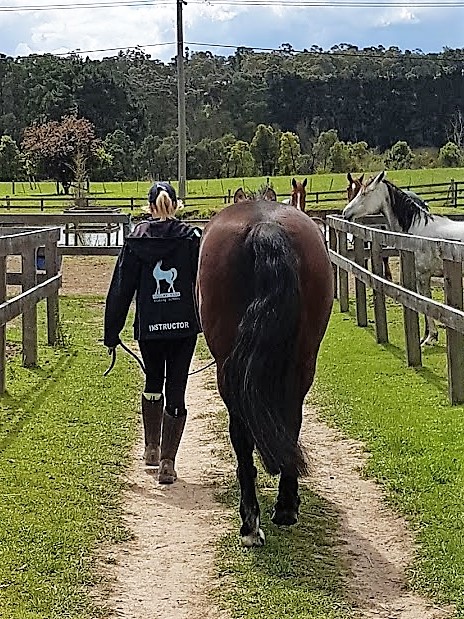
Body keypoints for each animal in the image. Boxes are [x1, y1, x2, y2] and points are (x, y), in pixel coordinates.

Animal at [196, 199, 334, 548]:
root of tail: (265, 226)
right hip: (300, 366)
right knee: (290, 422)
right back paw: (280, 509)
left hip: (230, 373)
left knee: (243, 435)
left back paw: (252, 521)